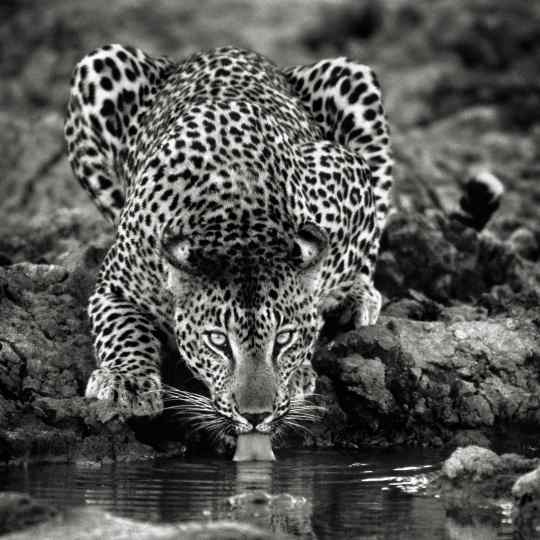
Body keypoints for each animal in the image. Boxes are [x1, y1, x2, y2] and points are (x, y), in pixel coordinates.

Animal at [64, 44, 392, 436]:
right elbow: (123, 329)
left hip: (353, 78)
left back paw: (358, 296)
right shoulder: (115, 287)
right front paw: (126, 380)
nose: (256, 416)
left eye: (282, 339)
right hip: (97, 67)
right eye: (218, 342)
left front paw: (300, 365)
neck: (241, 222)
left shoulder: (346, 173)